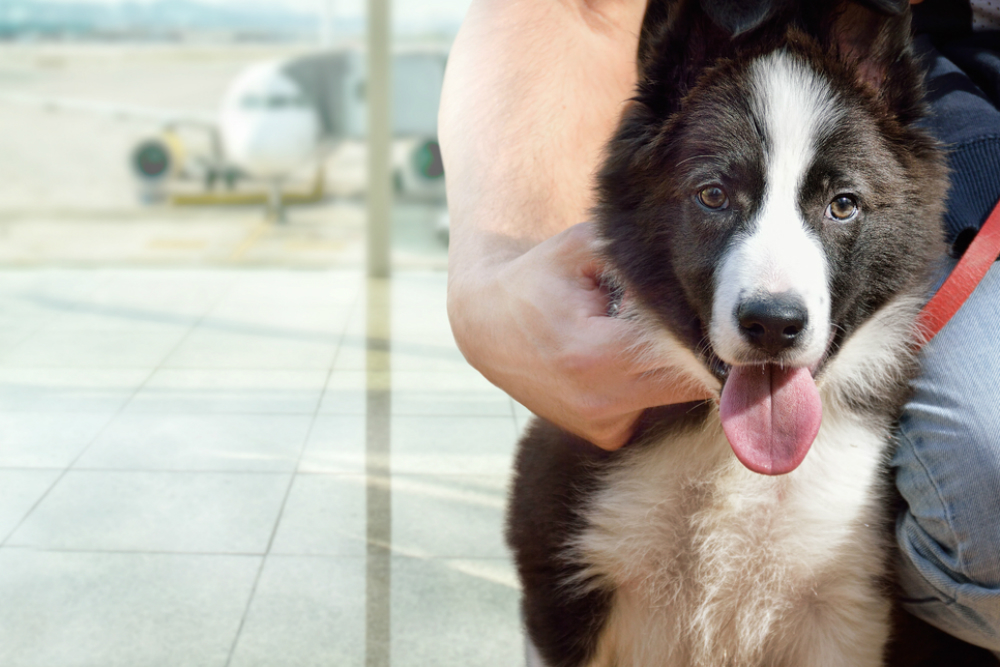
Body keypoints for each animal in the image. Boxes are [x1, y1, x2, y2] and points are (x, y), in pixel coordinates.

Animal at [508, 1, 952, 667]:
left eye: (843, 204)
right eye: (713, 195)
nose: (773, 323)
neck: (735, 460)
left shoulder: (848, 604)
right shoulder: (564, 582)